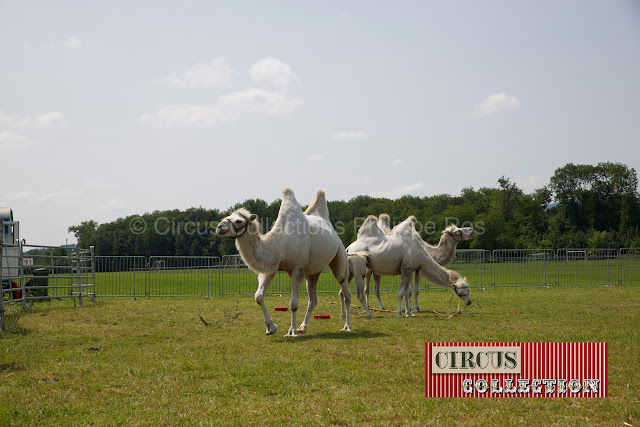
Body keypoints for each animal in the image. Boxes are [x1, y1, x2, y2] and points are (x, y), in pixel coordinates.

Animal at [218, 187, 352, 338]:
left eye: (239, 221)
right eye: (228, 216)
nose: (219, 227)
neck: (279, 244)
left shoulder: (297, 269)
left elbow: (293, 304)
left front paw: (291, 332)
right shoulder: (270, 268)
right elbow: (258, 296)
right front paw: (271, 327)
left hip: (340, 255)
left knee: (346, 291)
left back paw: (347, 326)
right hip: (312, 273)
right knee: (312, 300)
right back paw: (302, 327)